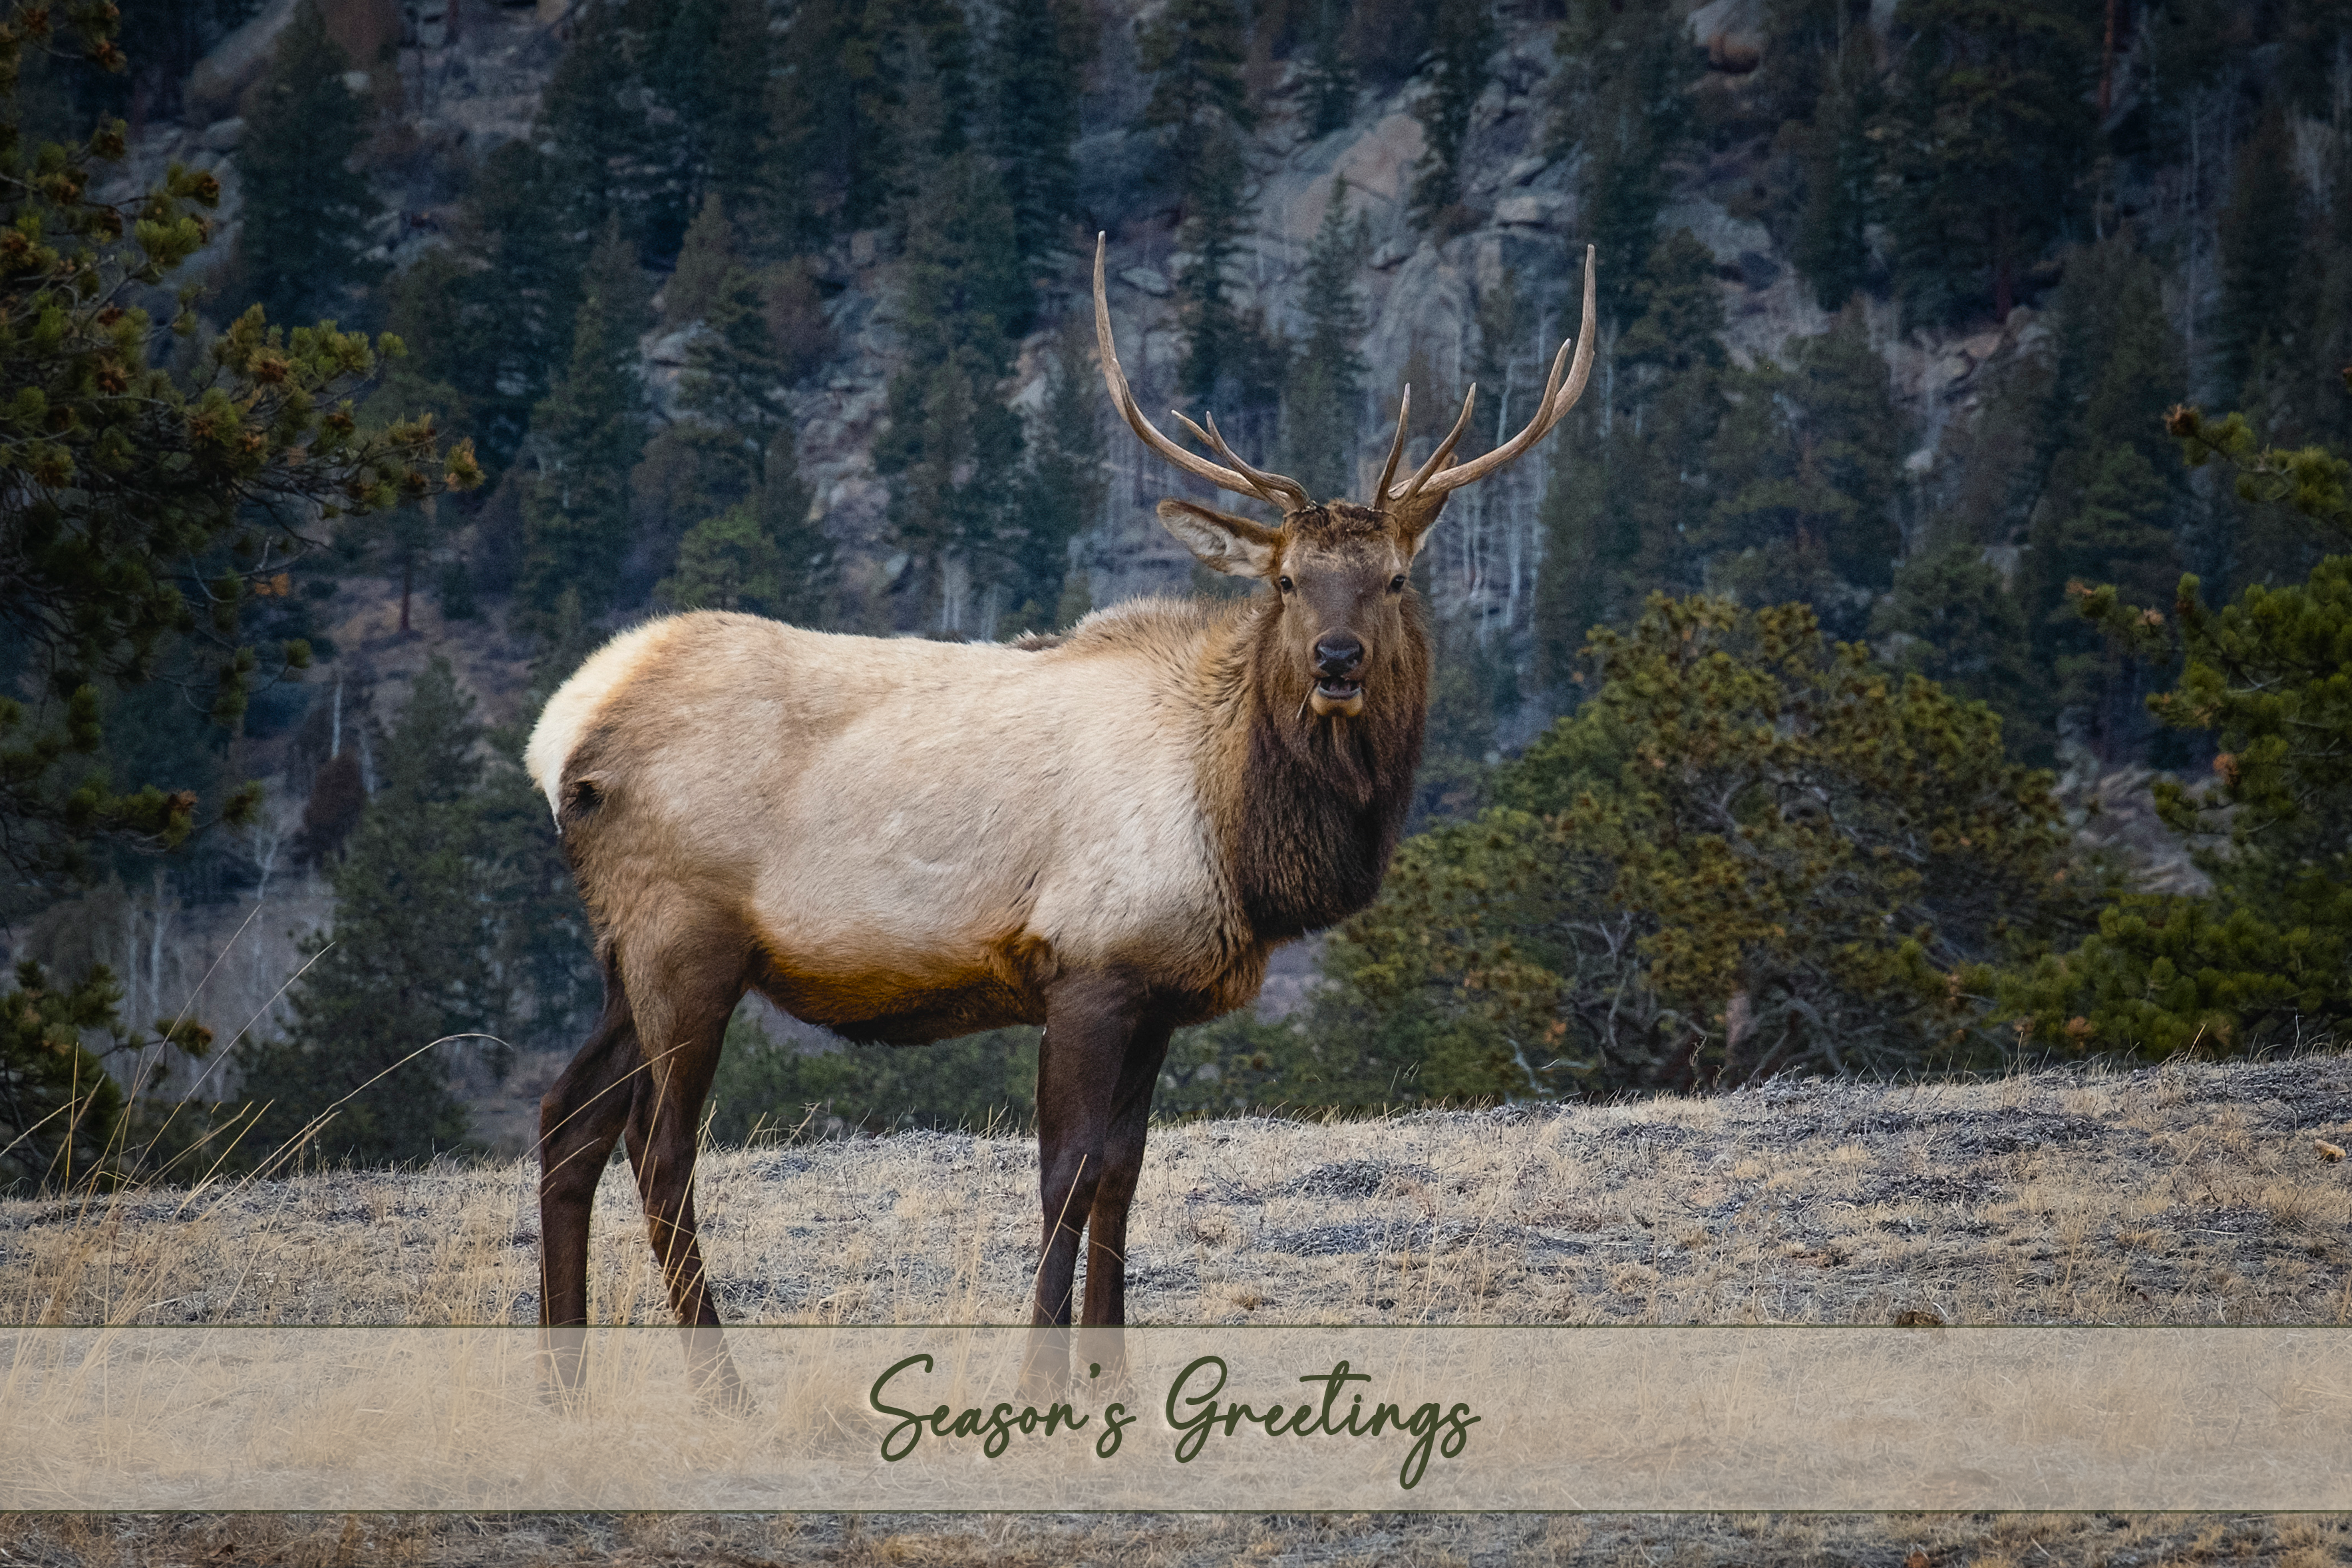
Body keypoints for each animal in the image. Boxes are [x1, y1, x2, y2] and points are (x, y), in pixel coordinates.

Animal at [524, 236, 1596, 1404]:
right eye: (1285, 579)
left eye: (1394, 578)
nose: (1337, 661)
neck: (1241, 837)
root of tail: (564, 734)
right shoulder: (1087, 968)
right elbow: (1066, 1175)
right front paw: (1038, 1380)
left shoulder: (1161, 991)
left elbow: (1123, 1175)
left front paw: (1112, 1379)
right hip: (686, 941)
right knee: (657, 1149)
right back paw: (723, 1390)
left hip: (619, 954)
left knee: (565, 1122)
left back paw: (563, 1384)